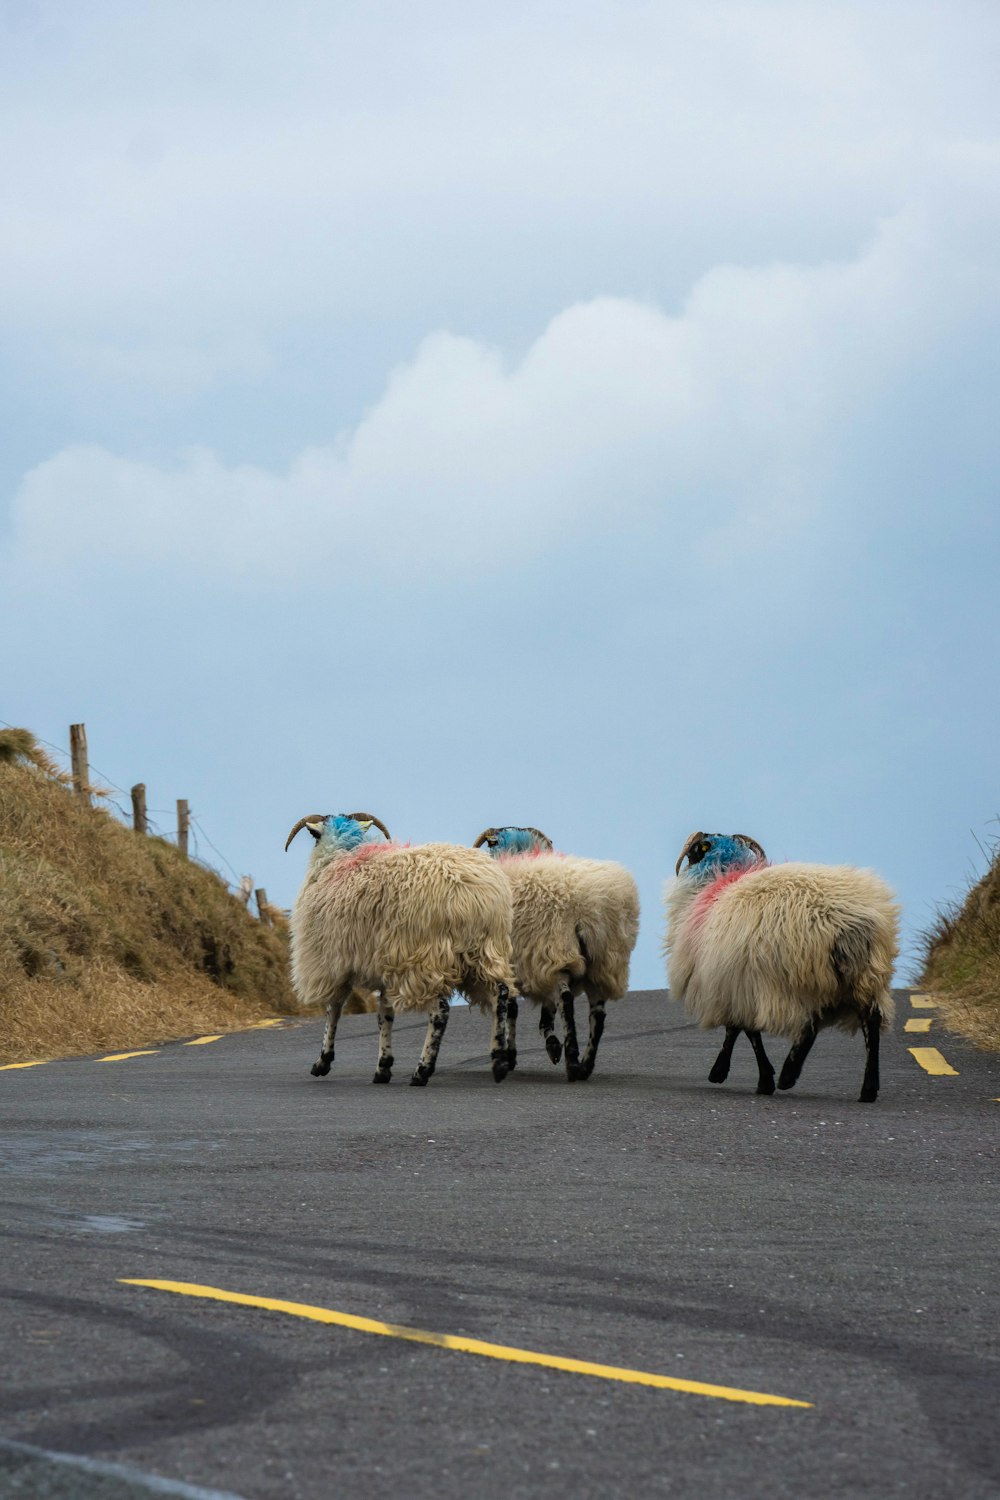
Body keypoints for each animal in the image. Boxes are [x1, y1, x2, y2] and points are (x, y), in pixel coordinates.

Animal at [283, 816, 515, 1086]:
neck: (340, 856)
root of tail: (472, 895)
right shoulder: (383, 964)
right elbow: (385, 1014)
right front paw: (383, 1067)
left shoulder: (331, 963)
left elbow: (334, 1010)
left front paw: (323, 1062)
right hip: (485, 951)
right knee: (500, 995)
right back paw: (499, 1061)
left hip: (424, 959)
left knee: (440, 1011)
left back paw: (422, 1071)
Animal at [470, 828, 641, 1086]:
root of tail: (587, 907)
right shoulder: (537, 965)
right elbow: (545, 1013)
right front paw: (551, 1045)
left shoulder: (519, 963)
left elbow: (513, 1009)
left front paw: (511, 1055)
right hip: (604, 962)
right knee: (597, 1015)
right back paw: (585, 1066)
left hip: (557, 949)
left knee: (567, 1002)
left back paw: (572, 1062)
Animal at [665, 834, 899, 1104]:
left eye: (695, 850)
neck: (716, 883)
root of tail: (847, 923)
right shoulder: (737, 984)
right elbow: (740, 1029)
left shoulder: (736, 982)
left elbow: (743, 1030)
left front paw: (736, 1075)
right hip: (861, 975)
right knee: (869, 1020)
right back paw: (867, 1088)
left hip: (799, 976)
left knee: (810, 1025)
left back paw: (789, 1075)